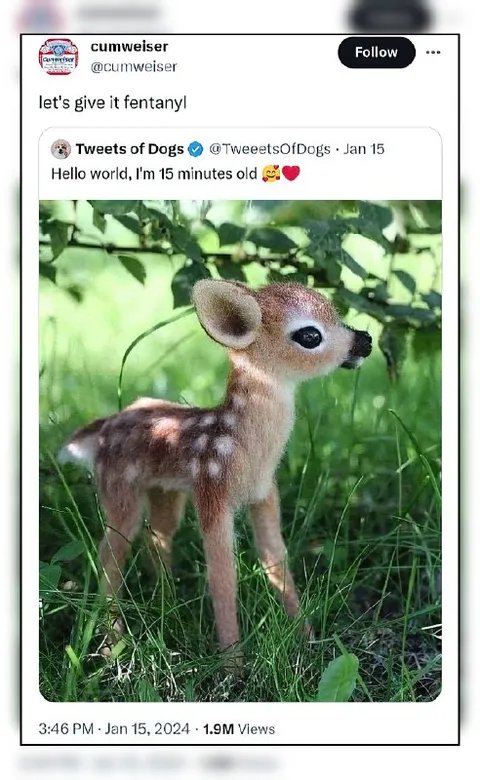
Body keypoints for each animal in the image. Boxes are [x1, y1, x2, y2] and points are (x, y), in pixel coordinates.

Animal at [58, 279, 372, 664]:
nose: (365, 340)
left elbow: (275, 558)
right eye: (310, 335)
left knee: (157, 536)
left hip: (167, 491)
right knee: (110, 553)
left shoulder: (264, 493)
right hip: (118, 487)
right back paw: (110, 642)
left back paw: (168, 604)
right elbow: (223, 576)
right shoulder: (212, 489)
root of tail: (102, 429)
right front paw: (233, 665)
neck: (245, 451)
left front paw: (308, 640)